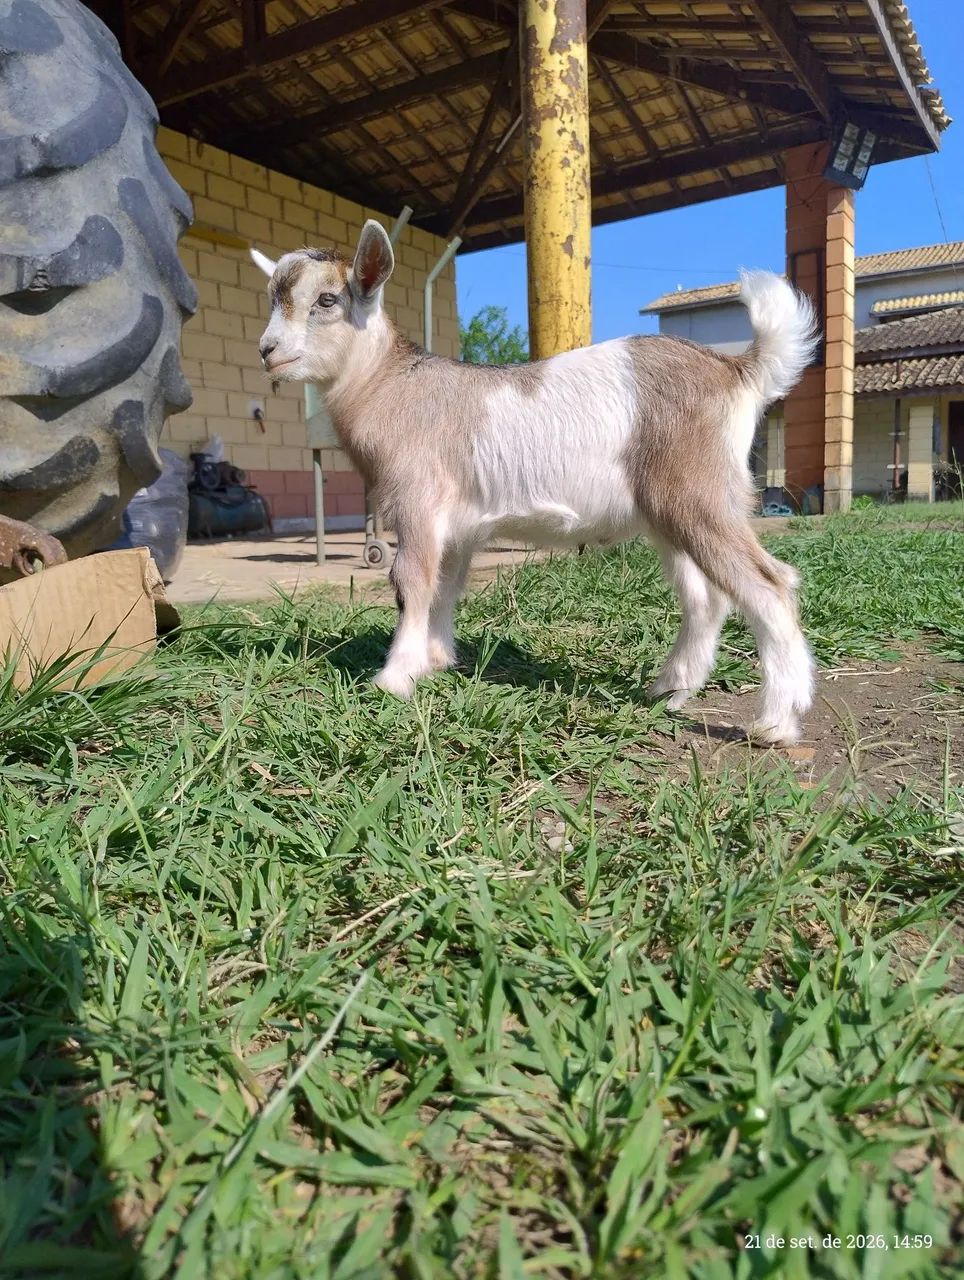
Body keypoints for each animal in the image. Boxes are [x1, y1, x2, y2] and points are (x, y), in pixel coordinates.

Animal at [252, 221, 819, 744]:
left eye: (327, 300)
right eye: (273, 298)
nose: (267, 350)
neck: (387, 384)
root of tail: (738, 371)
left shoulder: (418, 500)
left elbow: (410, 580)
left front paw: (395, 677)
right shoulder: (457, 526)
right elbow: (446, 586)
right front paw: (436, 660)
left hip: (701, 495)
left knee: (769, 587)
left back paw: (776, 720)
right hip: (670, 513)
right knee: (706, 599)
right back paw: (670, 690)